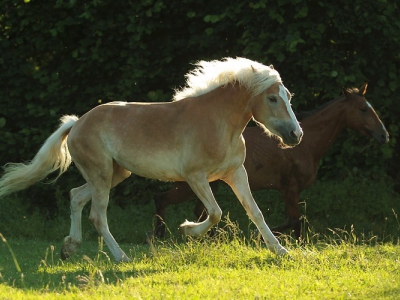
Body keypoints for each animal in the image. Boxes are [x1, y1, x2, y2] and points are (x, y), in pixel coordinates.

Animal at [0, 57, 302, 262]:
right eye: (272, 98)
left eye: (288, 96)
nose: (296, 135)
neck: (218, 122)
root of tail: (76, 123)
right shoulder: (195, 177)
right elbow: (215, 212)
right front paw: (187, 230)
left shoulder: (235, 173)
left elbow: (256, 212)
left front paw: (281, 251)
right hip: (101, 174)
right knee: (97, 215)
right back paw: (121, 257)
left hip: (114, 174)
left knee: (75, 196)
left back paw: (69, 248)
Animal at [153, 83, 388, 240]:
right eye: (363, 109)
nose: (384, 135)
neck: (305, 145)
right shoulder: (289, 189)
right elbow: (294, 221)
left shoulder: (290, 191)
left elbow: (292, 222)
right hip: (187, 185)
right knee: (162, 199)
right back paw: (160, 236)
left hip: (210, 184)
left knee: (199, 211)